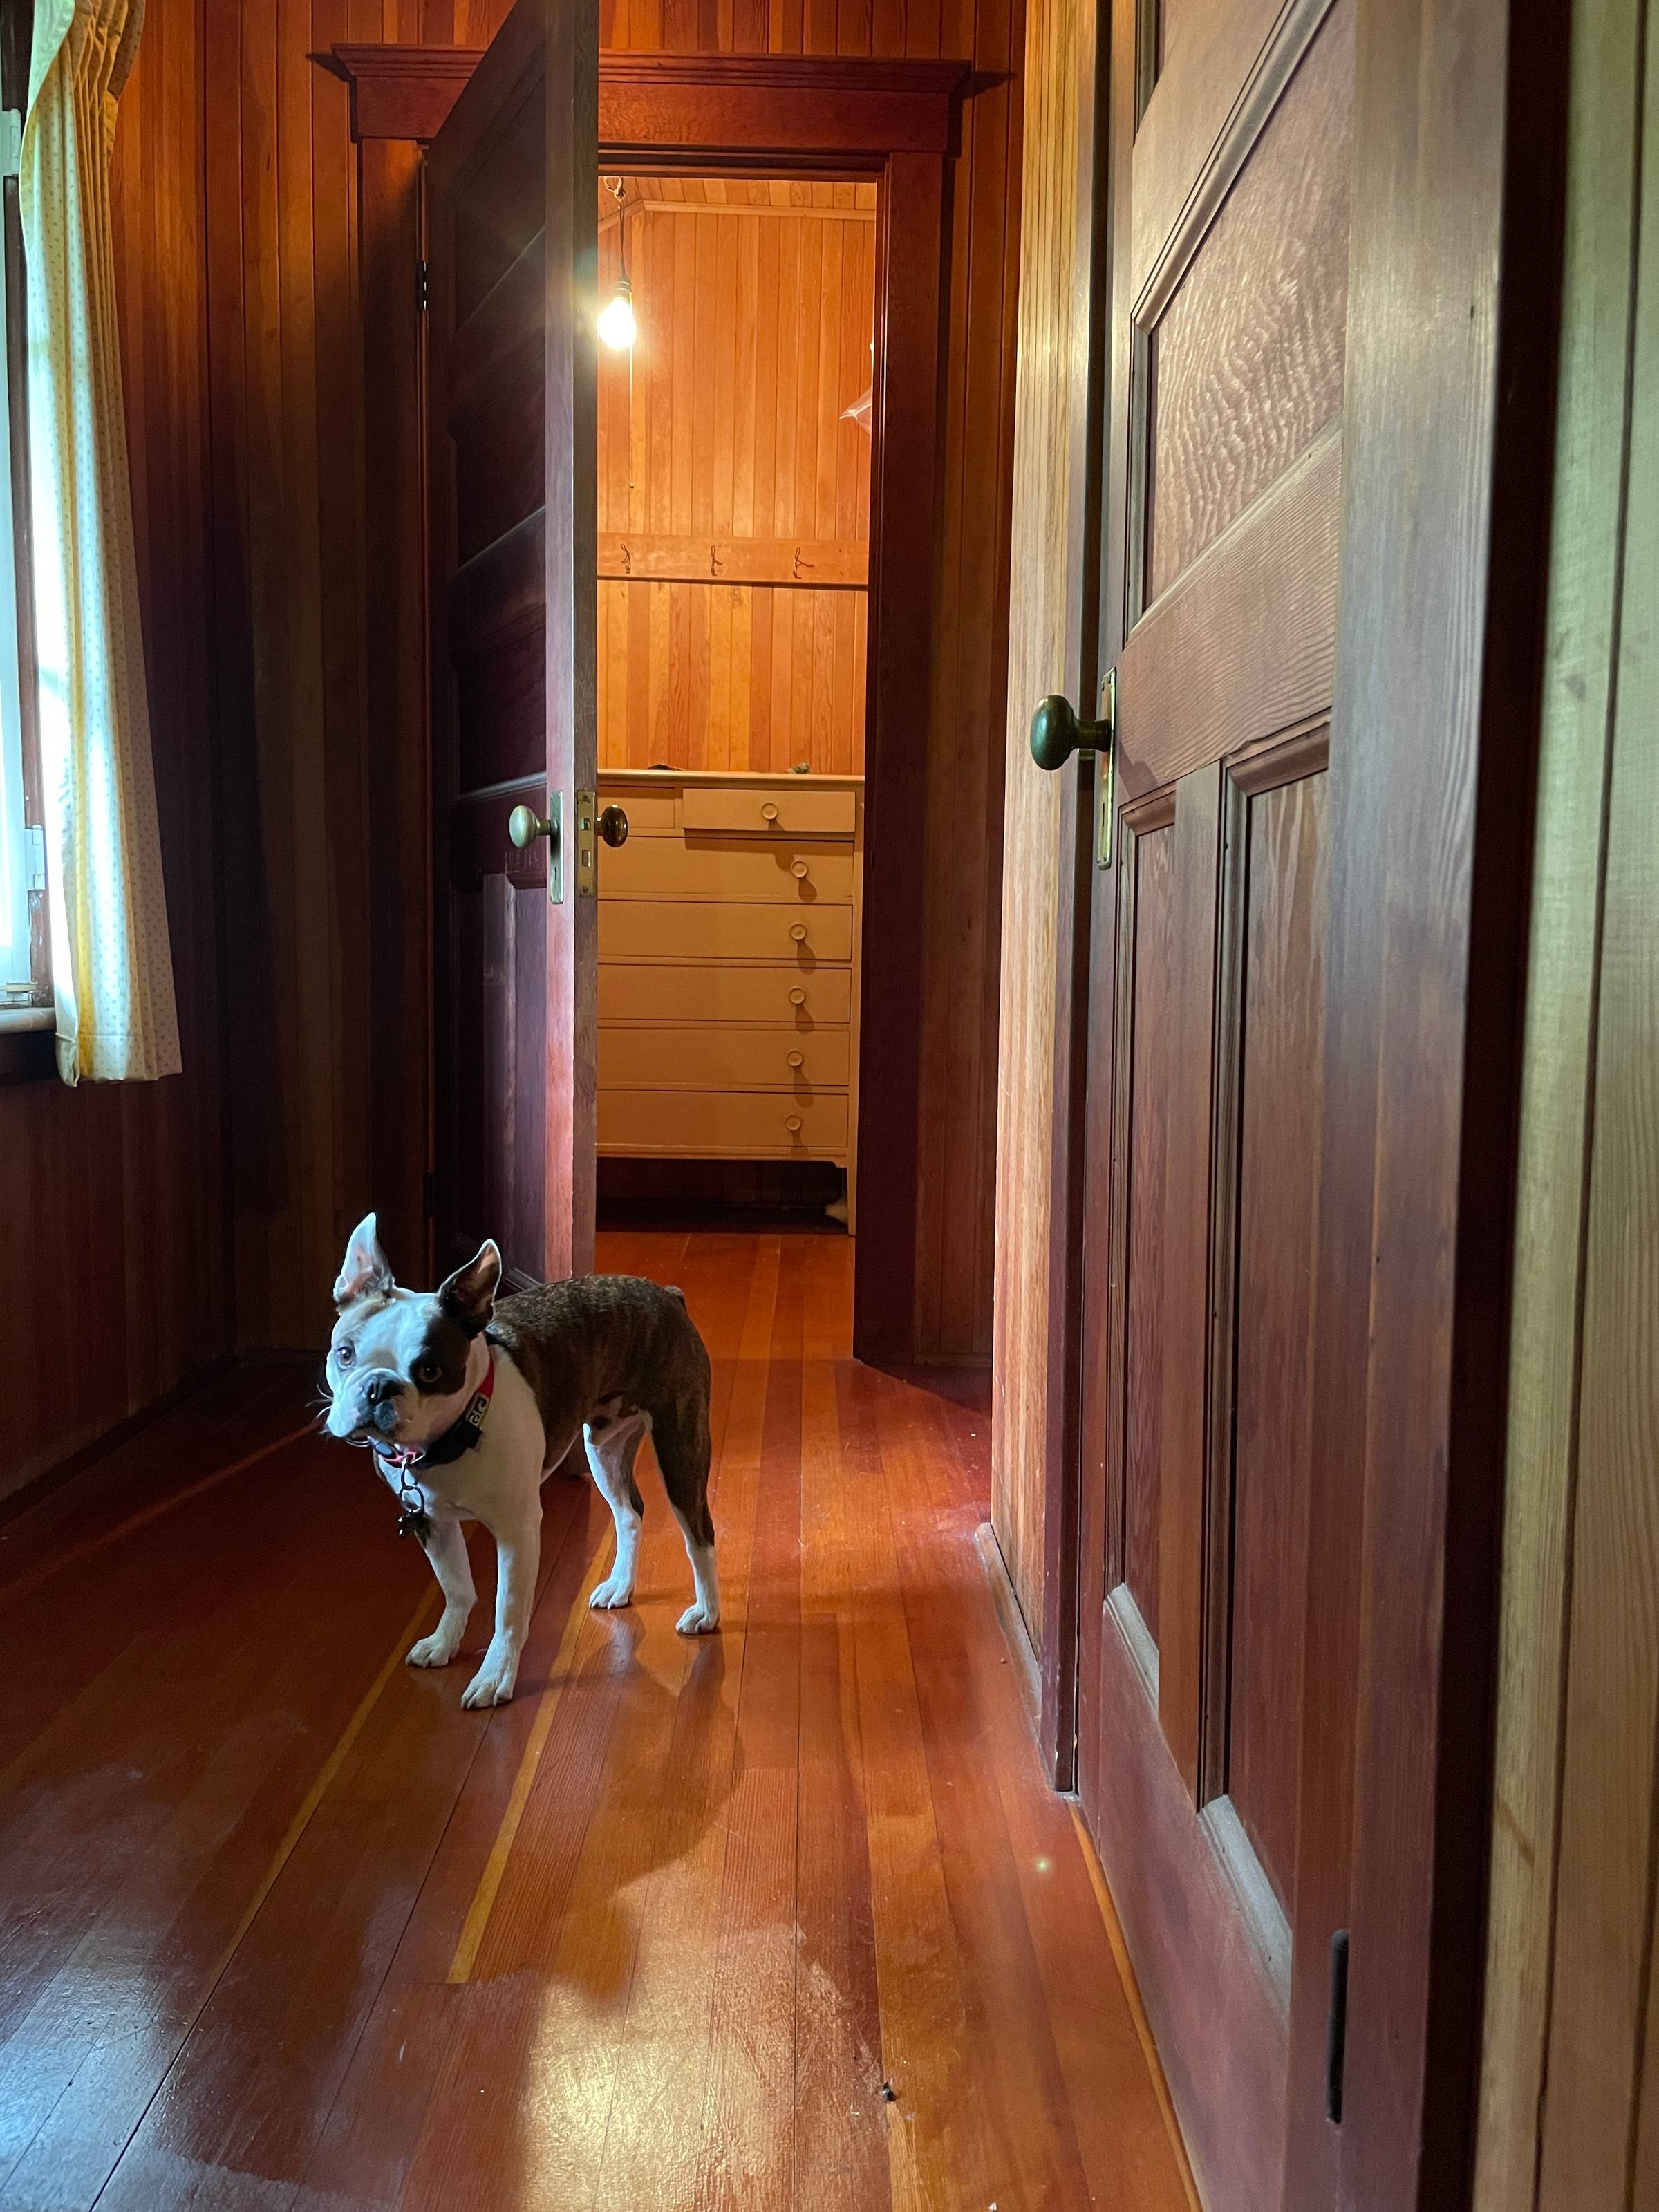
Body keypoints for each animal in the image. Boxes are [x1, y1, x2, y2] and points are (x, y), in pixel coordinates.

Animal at [321, 1212, 716, 1707]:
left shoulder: (518, 1532)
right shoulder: (431, 1522)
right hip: (603, 1450)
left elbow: (507, 1612)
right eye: (345, 1353)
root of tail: (668, 1296)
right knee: (629, 1514)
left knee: (699, 1535)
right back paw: (621, 1587)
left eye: (430, 1371)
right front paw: (445, 1642)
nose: (377, 1387)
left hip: (680, 1446)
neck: (454, 1436)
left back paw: (706, 1613)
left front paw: (495, 1677)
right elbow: (456, 1587)